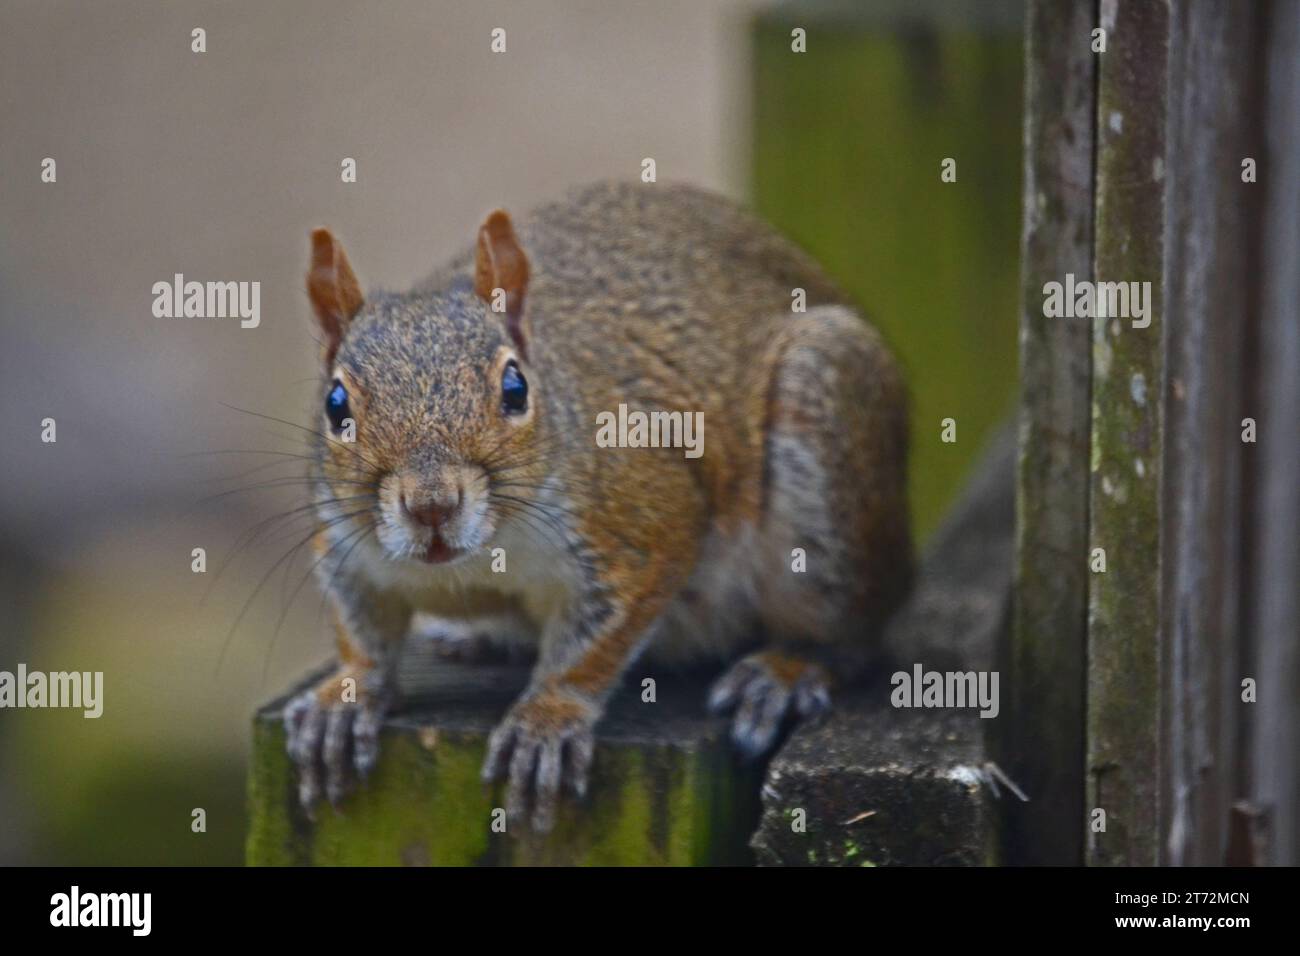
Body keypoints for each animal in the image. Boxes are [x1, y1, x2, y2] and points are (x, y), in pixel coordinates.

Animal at [284, 179, 915, 832]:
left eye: (516, 389)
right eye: (335, 404)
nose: (431, 505)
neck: (476, 560)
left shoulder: (640, 520)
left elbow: (597, 640)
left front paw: (547, 720)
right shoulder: (347, 546)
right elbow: (362, 629)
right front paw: (345, 698)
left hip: (824, 438)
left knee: (855, 632)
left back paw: (785, 672)